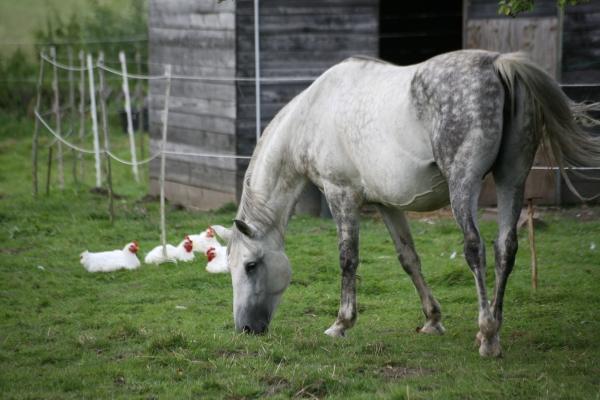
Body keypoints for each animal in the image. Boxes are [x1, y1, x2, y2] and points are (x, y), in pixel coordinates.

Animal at [219, 49, 600, 356]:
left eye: (250, 266)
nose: (246, 329)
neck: (313, 115)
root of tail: (496, 63)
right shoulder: (387, 204)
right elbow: (408, 258)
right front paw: (432, 319)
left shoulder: (342, 194)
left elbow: (347, 259)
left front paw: (341, 324)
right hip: (512, 179)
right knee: (506, 247)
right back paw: (493, 324)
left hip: (464, 183)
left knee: (474, 247)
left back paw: (487, 335)